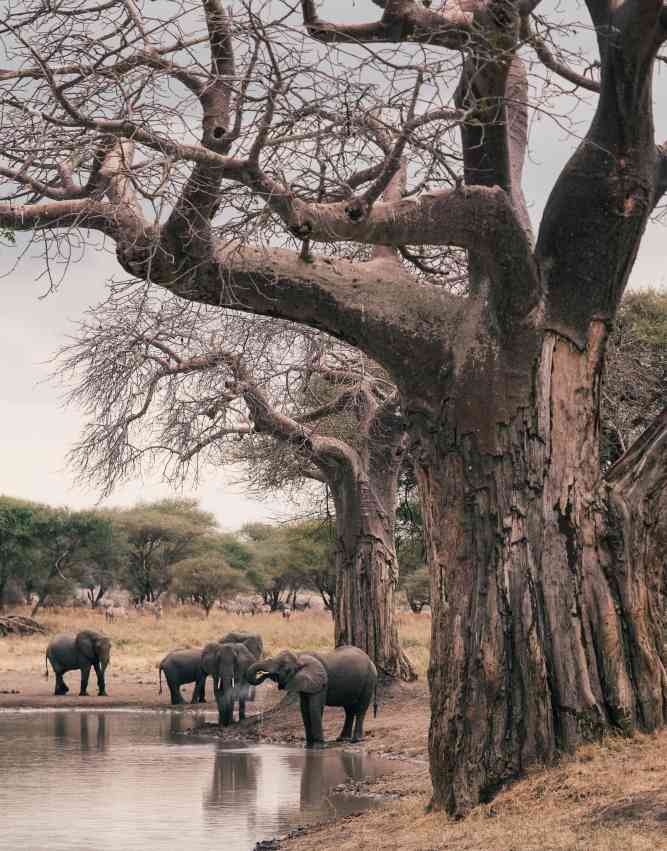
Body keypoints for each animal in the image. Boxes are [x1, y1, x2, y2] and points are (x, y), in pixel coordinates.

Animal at [246, 645, 377, 747]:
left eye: (286, 668)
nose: (264, 674)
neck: (299, 656)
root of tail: (371, 660)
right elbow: (304, 709)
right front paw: (308, 746)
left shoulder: (322, 682)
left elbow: (314, 708)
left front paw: (319, 746)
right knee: (349, 710)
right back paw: (342, 739)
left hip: (369, 680)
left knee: (361, 708)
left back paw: (356, 740)